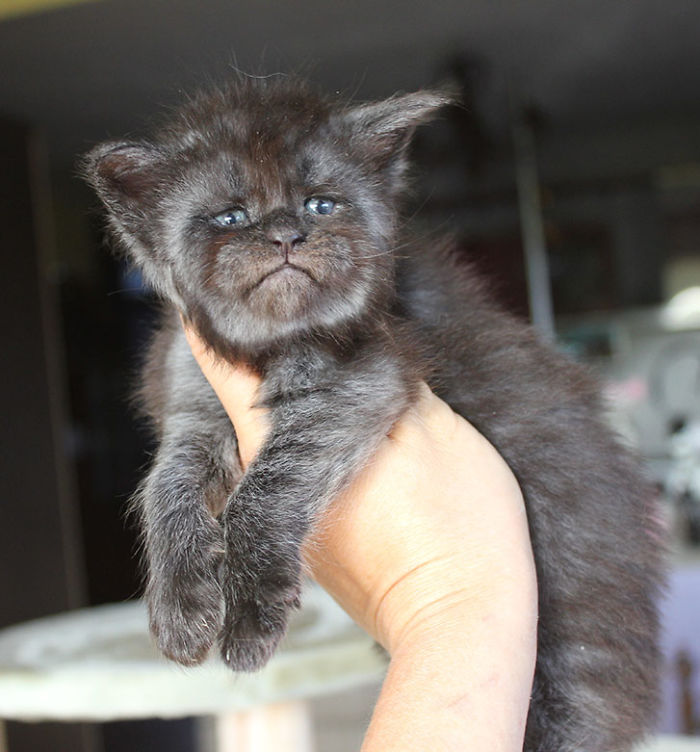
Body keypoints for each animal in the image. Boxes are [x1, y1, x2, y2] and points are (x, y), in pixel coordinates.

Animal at [82, 76, 660, 752]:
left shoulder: (364, 381)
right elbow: (164, 486)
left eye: (320, 205)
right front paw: (179, 604)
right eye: (231, 217)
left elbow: (264, 492)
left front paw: (250, 614)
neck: (274, 346)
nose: (285, 235)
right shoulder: (194, 403)